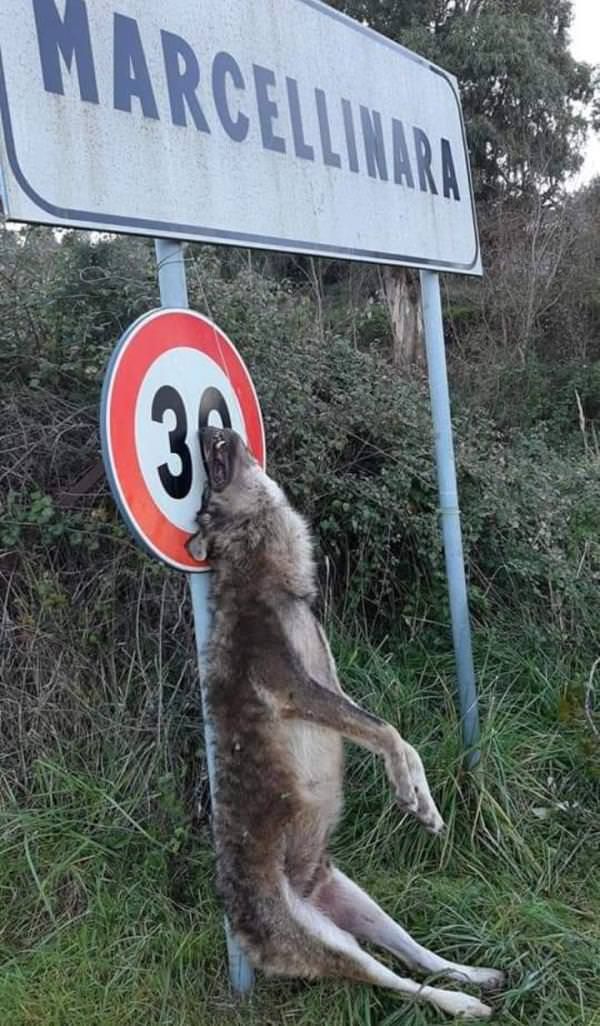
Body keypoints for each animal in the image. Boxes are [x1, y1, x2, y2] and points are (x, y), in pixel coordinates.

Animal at [186, 426, 504, 1019]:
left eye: (212, 463)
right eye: (207, 497)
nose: (207, 429)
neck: (273, 579)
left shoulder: (332, 689)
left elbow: (393, 734)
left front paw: (424, 805)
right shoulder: (296, 691)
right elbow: (388, 734)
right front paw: (408, 792)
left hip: (360, 905)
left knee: (422, 957)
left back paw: (477, 974)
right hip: (337, 945)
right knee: (401, 982)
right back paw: (464, 1005)